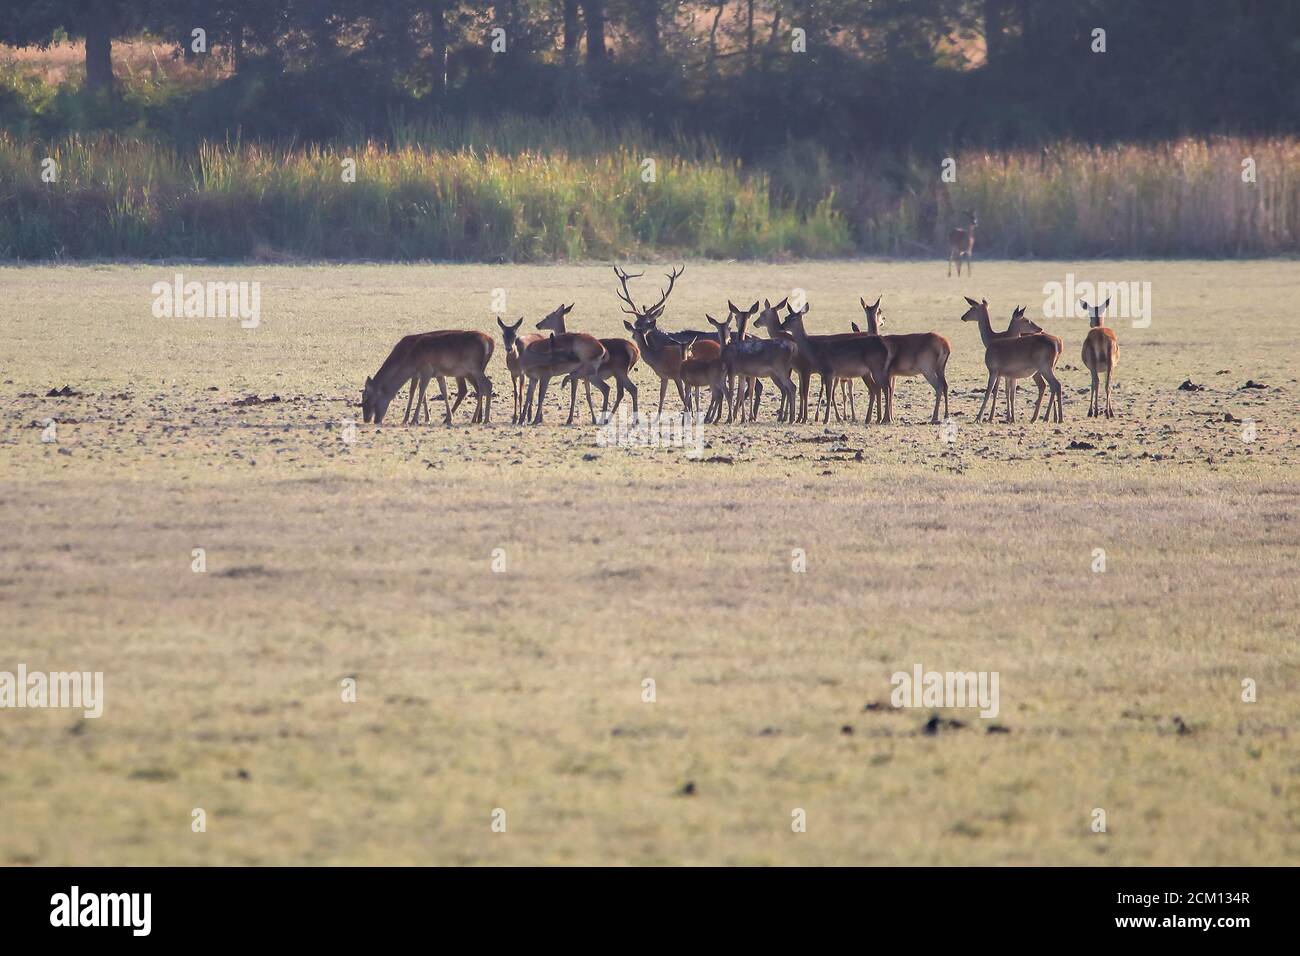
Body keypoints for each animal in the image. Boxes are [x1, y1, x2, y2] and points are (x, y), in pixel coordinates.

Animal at [364, 332, 493, 429]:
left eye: (366, 398)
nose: (370, 420)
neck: (411, 359)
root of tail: (489, 341)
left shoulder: (426, 371)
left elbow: (420, 393)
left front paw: (413, 420)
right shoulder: (437, 374)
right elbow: (442, 391)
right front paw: (448, 418)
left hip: (473, 368)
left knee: (487, 385)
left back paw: (485, 419)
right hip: (471, 371)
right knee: (479, 388)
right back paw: (476, 419)